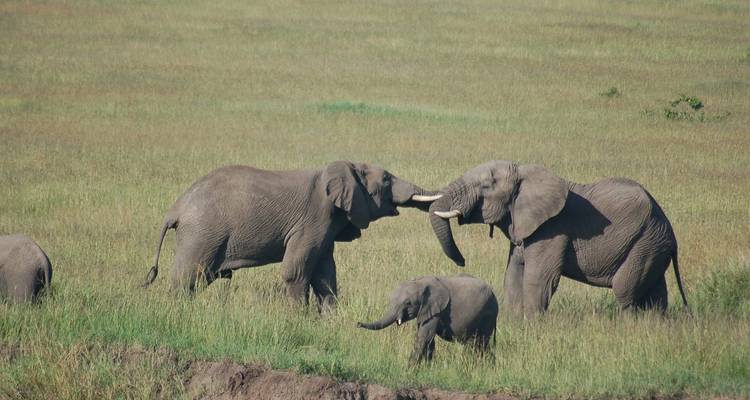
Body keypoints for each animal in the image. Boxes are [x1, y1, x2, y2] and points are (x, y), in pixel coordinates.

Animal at [142, 161, 440, 310]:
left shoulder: (328, 226)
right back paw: (179, 312)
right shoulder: (313, 219)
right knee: (188, 276)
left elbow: (325, 275)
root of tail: (175, 209)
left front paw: (330, 321)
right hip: (202, 233)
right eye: (387, 179)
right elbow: (295, 271)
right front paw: (299, 320)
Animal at [358, 274, 498, 364]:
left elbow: (424, 337)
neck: (421, 283)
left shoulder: (436, 309)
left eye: (408, 303)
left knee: (480, 343)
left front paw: (409, 369)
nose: (358, 323)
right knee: (477, 344)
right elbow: (429, 340)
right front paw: (428, 367)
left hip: (488, 314)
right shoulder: (426, 311)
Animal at [429, 160, 689, 318]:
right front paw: (513, 322)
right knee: (655, 293)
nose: (462, 262)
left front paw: (532, 326)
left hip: (645, 242)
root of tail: (671, 232)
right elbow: (513, 273)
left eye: (485, 186)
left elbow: (538, 278)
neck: (524, 172)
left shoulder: (552, 229)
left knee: (625, 290)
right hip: (652, 245)